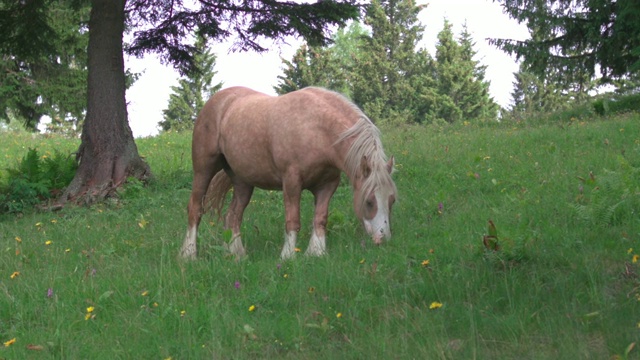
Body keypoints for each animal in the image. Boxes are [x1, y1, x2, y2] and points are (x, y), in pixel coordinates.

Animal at [180, 86, 396, 260]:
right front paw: (288, 256)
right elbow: (293, 220)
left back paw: (237, 255)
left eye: (392, 200)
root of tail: (217, 100)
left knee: (233, 216)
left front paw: (316, 253)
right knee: (195, 209)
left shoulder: (328, 184)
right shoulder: (292, 181)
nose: (383, 238)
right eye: (369, 201)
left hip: (242, 182)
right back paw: (189, 255)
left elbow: (320, 218)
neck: (317, 129)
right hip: (203, 169)